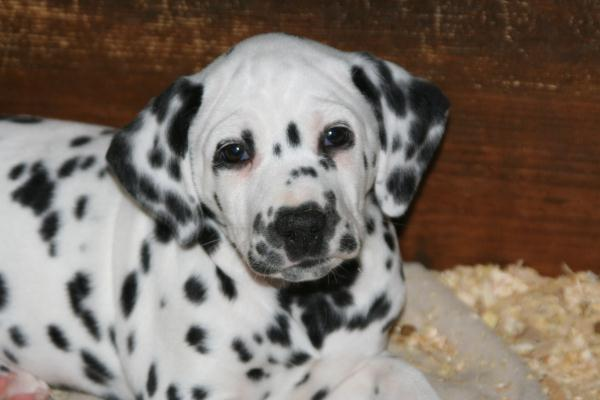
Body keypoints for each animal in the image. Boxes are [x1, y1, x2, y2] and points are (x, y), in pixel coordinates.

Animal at [0, 33, 449, 400]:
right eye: (233, 152)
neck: (303, 309)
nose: (301, 226)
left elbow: (405, 377)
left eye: (337, 135)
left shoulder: (350, 366)